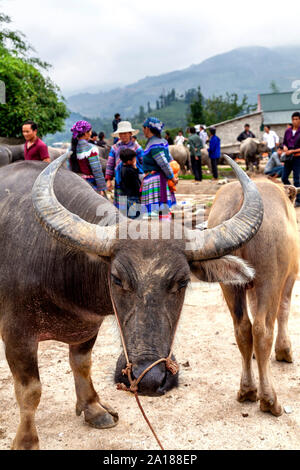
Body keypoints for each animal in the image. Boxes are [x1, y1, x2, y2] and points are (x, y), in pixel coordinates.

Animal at [0, 156, 262, 450]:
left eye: (183, 282)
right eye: (116, 278)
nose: (148, 379)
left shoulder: (88, 330)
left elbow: (82, 365)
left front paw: (94, 409)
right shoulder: (17, 336)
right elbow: (30, 390)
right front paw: (26, 441)